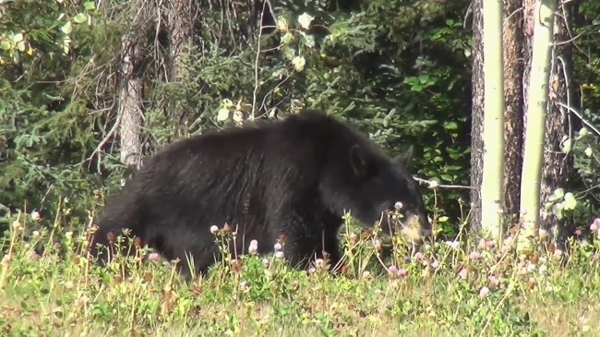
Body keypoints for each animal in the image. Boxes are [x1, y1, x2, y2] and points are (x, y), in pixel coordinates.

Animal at [89, 109, 432, 276]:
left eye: (420, 203)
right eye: (398, 208)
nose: (425, 235)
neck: (327, 169)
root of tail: (142, 169)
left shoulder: (323, 209)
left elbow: (323, 240)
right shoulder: (291, 180)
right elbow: (299, 240)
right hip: (146, 207)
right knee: (110, 234)